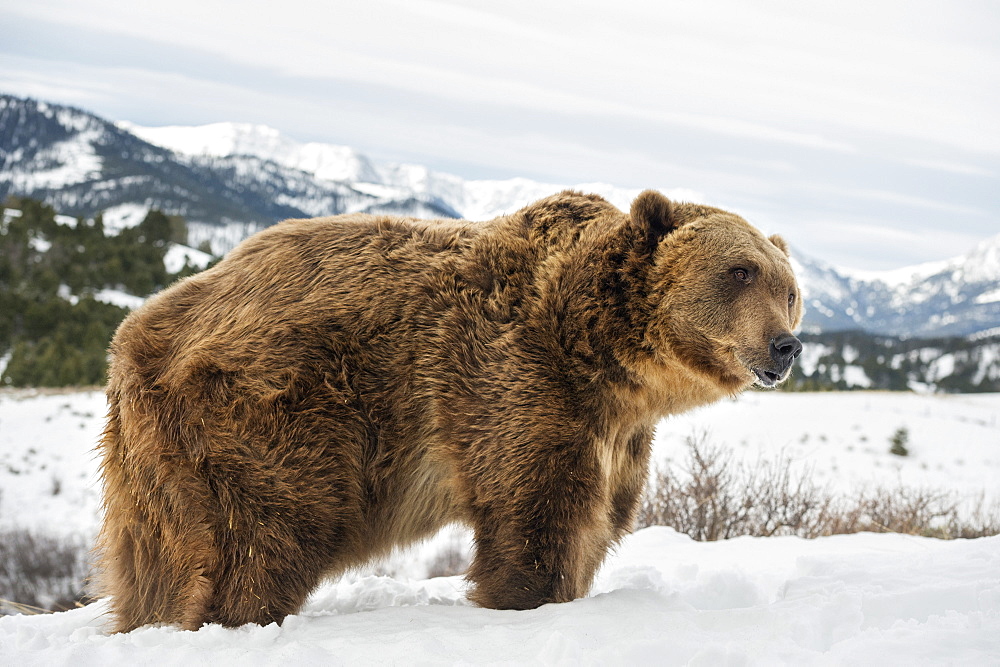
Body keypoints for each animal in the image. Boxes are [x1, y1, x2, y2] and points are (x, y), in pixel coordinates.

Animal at [95, 188, 804, 632]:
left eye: (789, 289)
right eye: (738, 272)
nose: (785, 344)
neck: (599, 353)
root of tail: (135, 336)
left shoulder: (618, 434)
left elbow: (598, 519)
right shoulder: (515, 385)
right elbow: (536, 516)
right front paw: (524, 600)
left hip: (151, 458)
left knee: (154, 560)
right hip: (269, 417)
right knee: (262, 540)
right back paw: (239, 617)